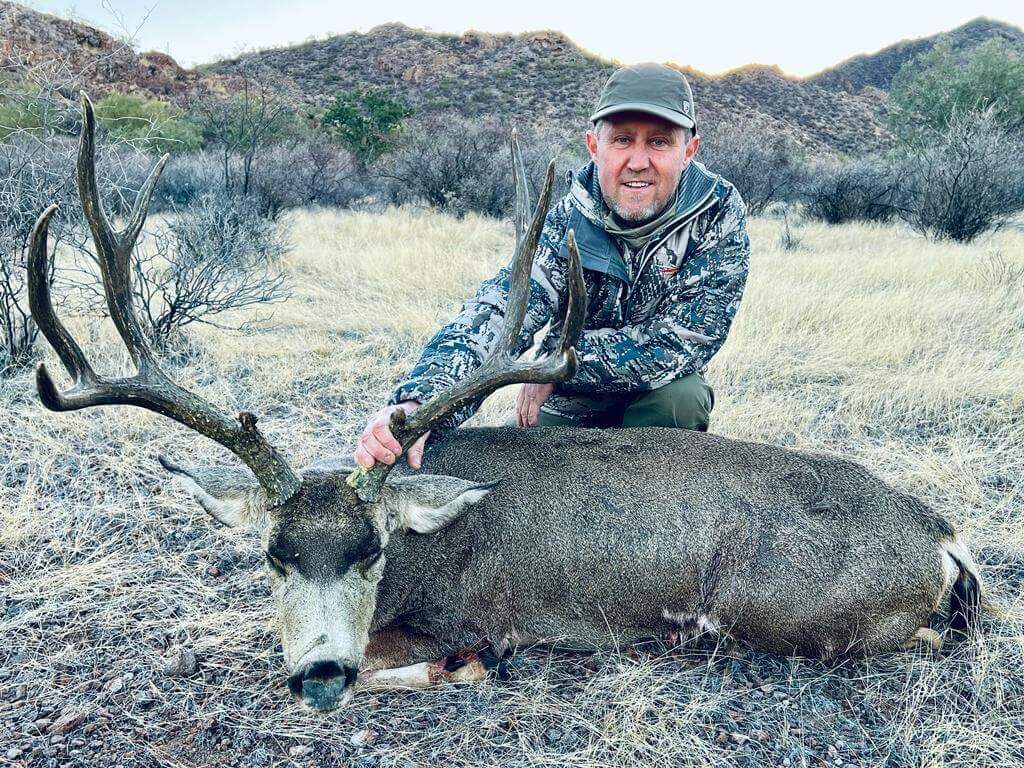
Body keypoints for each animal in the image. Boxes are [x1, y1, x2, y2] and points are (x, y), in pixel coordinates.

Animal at [28, 93, 983, 712]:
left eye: (374, 550)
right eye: (272, 554)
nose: (322, 673)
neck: (421, 557)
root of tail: (938, 531)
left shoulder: (465, 618)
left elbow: (439, 657)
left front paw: (451, 670)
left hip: (794, 611)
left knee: (932, 638)